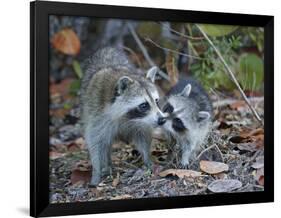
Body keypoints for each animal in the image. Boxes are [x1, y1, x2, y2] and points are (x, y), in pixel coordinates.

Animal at [80, 47, 165, 186]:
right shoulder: (97, 115)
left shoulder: (142, 122)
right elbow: (95, 142)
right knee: (105, 143)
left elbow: (143, 136)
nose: (162, 119)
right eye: (144, 105)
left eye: (156, 101)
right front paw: (96, 171)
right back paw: (107, 165)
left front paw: (147, 159)